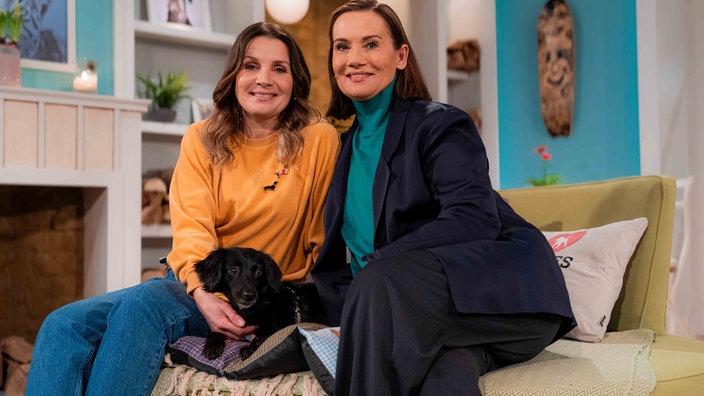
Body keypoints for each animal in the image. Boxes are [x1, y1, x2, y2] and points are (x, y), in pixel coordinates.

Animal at [192, 246, 324, 360]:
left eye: (259, 272)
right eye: (233, 270)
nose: (249, 296)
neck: (247, 311)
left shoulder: (282, 326)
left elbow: (267, 334)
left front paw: (250, 348)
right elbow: (216, 330)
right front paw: (213, 344)